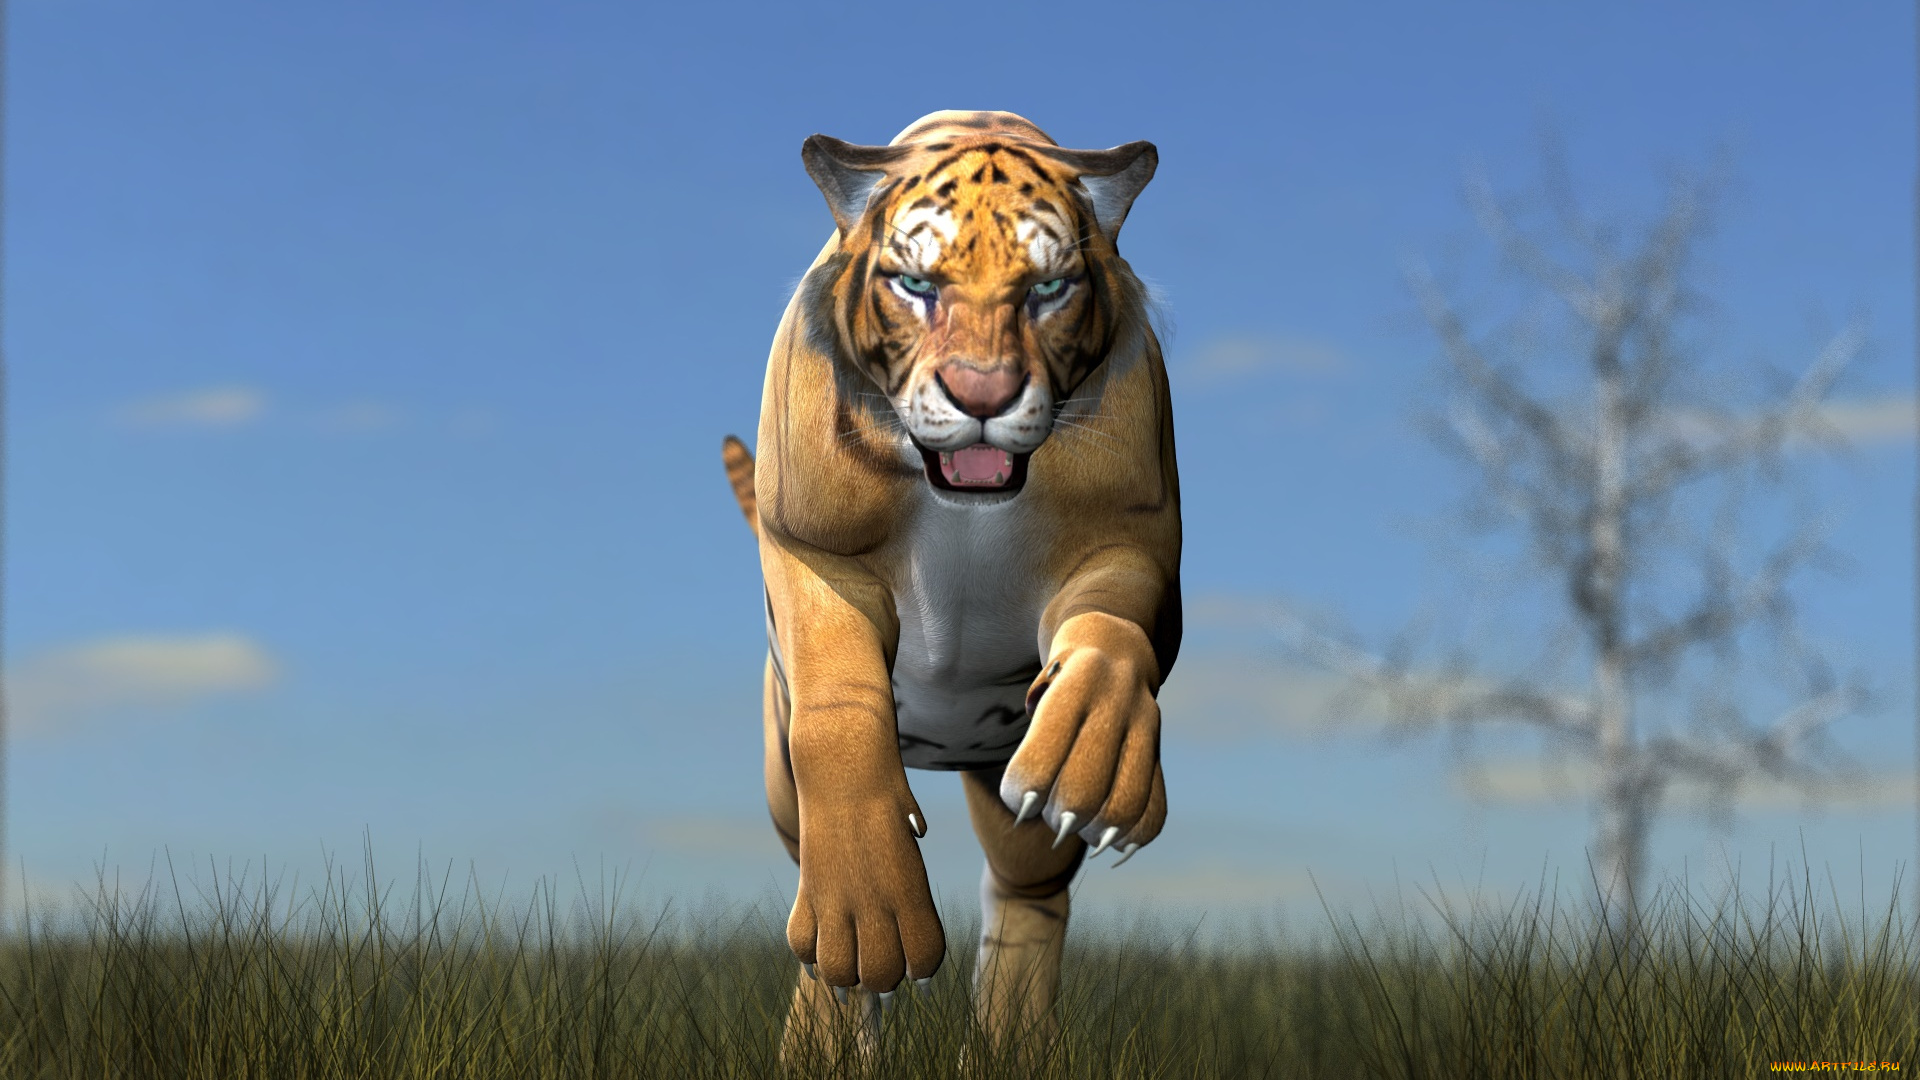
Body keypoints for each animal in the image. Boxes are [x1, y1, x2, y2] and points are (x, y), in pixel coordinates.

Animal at [720, 109, 1180, 1059]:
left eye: (1048, 289)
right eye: (916, 284)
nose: (983, 394)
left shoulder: (1136, 537)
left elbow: (1112, 635)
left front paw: (1096, 756)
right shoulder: (813, 552)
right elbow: (838, 705)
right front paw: (869, 913)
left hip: (1014, 815)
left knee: (1026, 896)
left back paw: (1013, 1045)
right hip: (784, 796)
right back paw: (823, 1037)